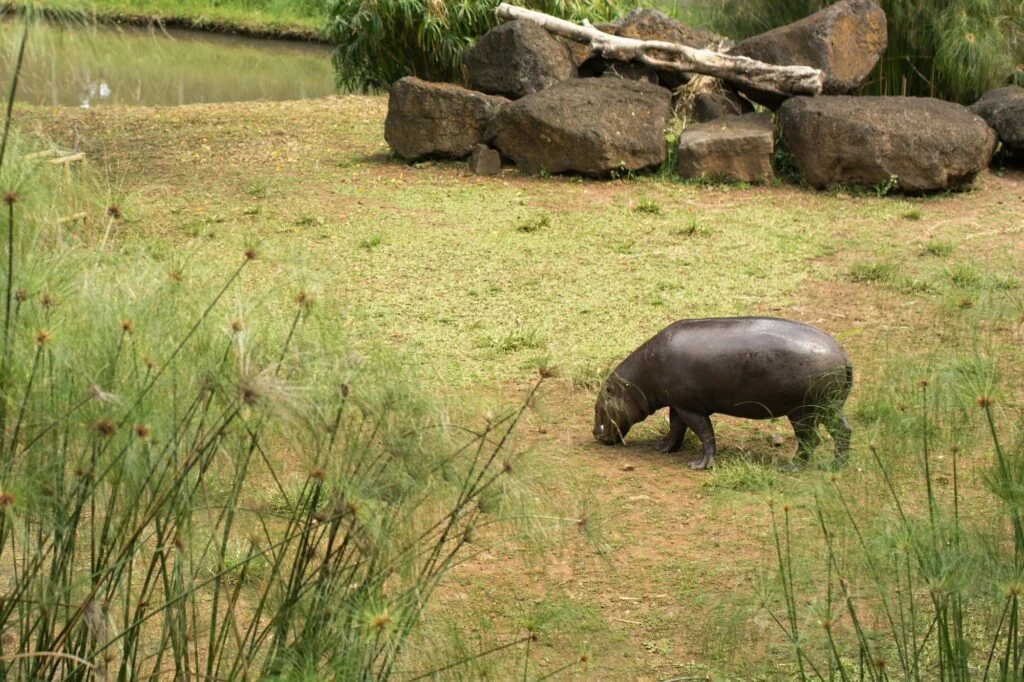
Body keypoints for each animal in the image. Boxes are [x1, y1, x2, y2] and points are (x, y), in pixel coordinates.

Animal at [593, 317, 847, 466]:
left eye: (596, 408)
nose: (595, 434)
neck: (635, 384)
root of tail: (843, 355)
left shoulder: (690, 408)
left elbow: (704, 432)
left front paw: (699, 466)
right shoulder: (678, 404)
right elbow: (675, 429)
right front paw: (661, 448)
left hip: (803, 411)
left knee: (810, 439)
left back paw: (791, 467)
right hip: (830, 407)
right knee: (842, 432)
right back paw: (838, 465)